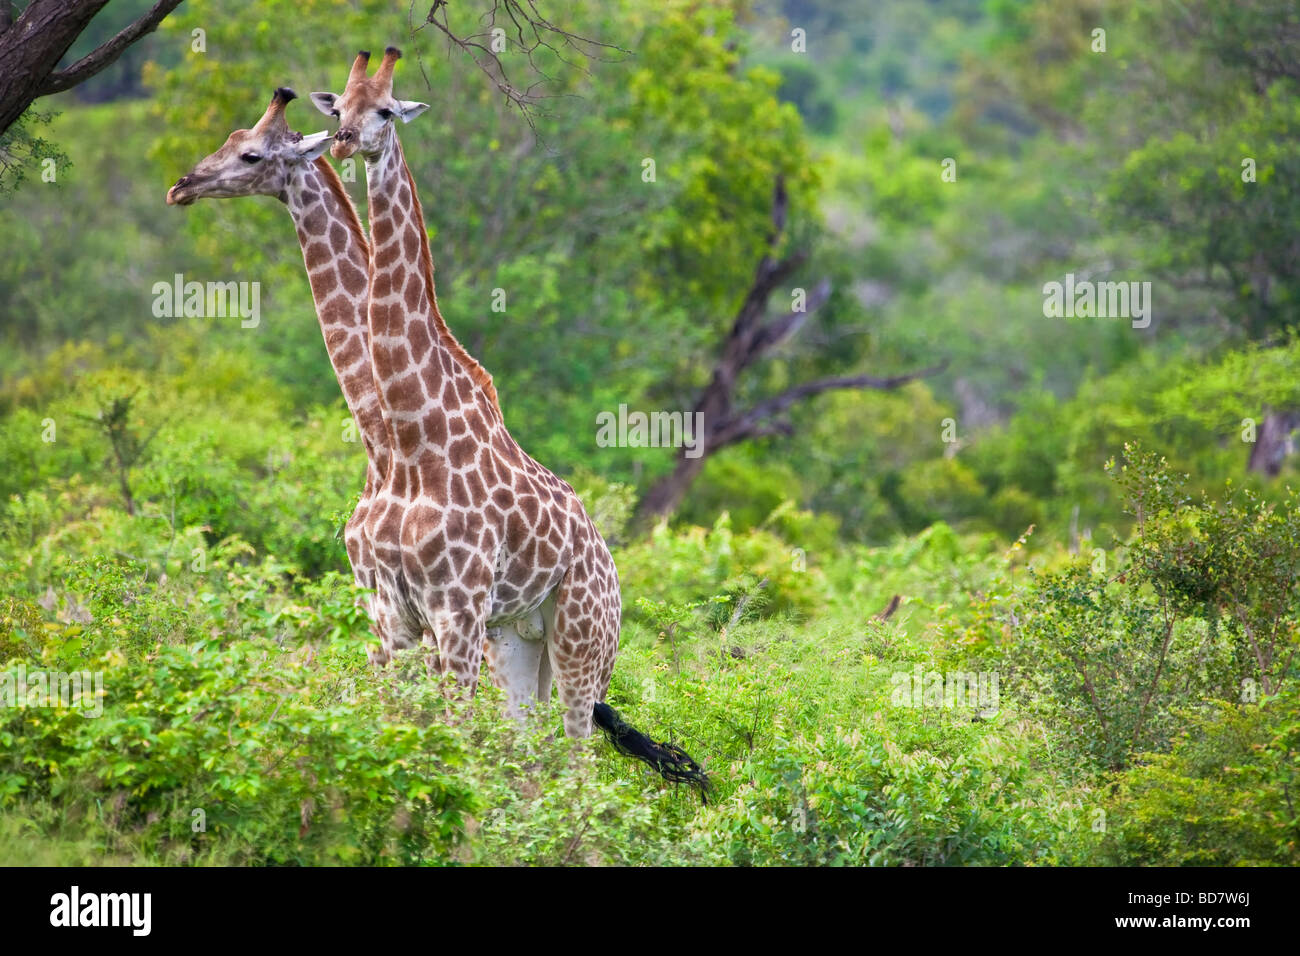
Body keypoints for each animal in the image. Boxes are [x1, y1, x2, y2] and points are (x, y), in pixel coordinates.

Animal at [309, 46, 707, 790]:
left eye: (386, 110)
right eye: (340, 107)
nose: (344, 141)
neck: (409, 446)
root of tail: (612, 568)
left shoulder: (451, 612)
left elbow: (450, 733)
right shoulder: (397, 613)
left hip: (580, 643)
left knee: (576, 759)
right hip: (521, 643)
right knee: (531, 746)